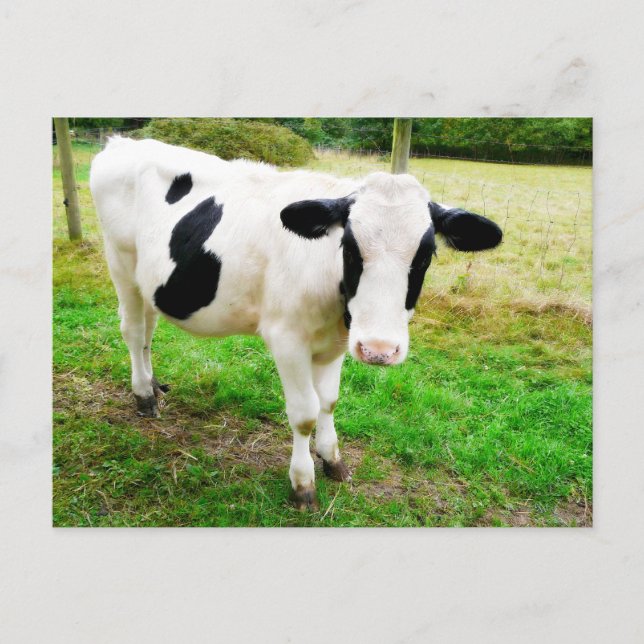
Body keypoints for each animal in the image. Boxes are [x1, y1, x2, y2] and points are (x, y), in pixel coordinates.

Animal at [89, 137, 502, 511]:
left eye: (426, 254)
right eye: (349, 248)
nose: (379, 350)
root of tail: (121, 142)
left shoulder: (338, 342)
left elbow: (329, 402)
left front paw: (332, 458)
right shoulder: (286, 339)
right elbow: (304, 414)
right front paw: (303, 482)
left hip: (150, 281)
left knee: (148, 330)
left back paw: (154, 385)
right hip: (119, 262)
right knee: (133, 331)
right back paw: (143, 395)